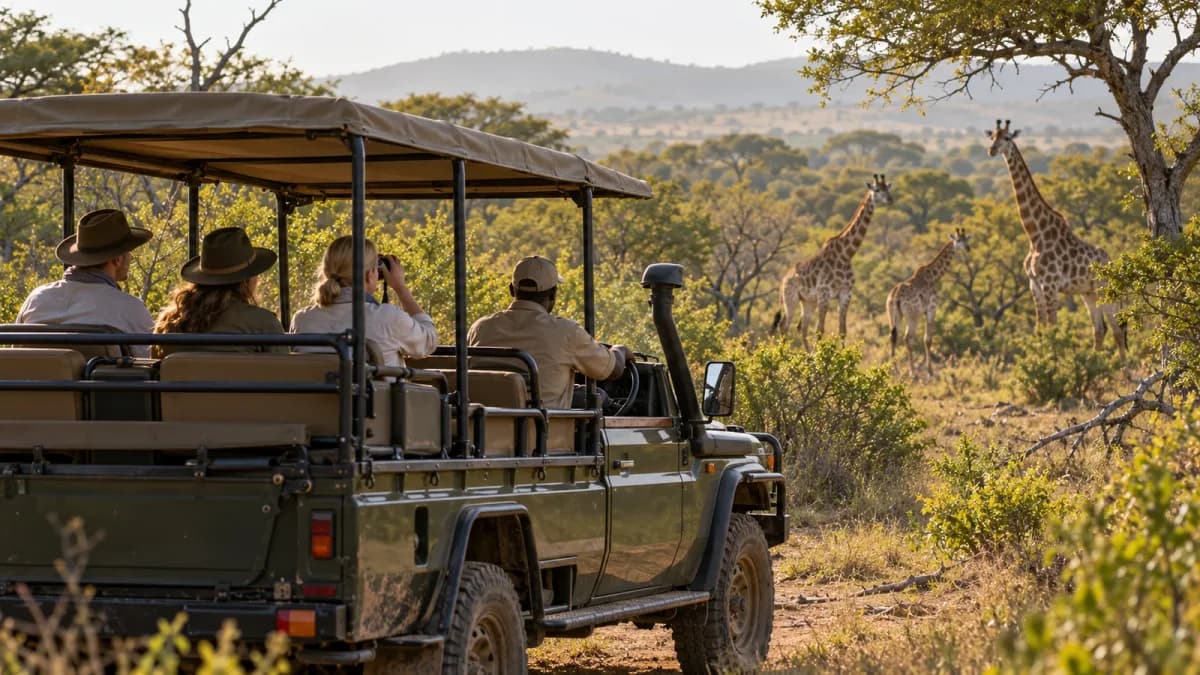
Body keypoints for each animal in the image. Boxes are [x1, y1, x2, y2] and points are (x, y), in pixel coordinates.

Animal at [773, 174, 893, 348]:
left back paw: (806, 354)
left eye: (888, 189)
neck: (846, 255)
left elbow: (842, 330)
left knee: (801, 327)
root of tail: (783, 279)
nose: (890, 199)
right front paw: (821, 355)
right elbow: (820, 330)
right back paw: (782, 353)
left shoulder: (845, 294)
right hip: (791, 299)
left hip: (808, 301)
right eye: (877, 190)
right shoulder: (824, 295)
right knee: (784, 326)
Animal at [886, 228, 970, 374]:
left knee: (893, 336)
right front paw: (930, 371)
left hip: (894, 314)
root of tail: (895, 296)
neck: (933, 276)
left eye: (966, 239)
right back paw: (912, 372)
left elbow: (926, 339)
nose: (968, 248)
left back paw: (895, 370)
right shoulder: (931, 309)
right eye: (959, 240)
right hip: (912, 315)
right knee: (907, 337)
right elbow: (928, 339)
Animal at [987, 119, 1127, 358]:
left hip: (1106, 292)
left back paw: (1122, 368)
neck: (1035, 234)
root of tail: (1113, 264)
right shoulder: (1034, 284)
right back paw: (1096, 361)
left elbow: (1053, 326)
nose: (992, 150)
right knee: (1100, 329)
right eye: (991, 137)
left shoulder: (1050, 285)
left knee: (1117, 331)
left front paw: (1053, 360)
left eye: (1007, 138)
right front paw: (1041, 359)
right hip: (1088, 293)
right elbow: (1039, 328)